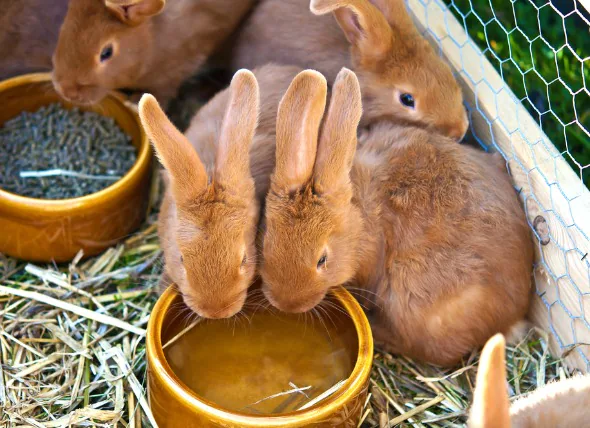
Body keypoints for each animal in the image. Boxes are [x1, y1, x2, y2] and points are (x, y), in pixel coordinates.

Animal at [51, 0, 254, 106]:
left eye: (106, 53)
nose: (66, 91)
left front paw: (134, 102)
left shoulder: (175, 73)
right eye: (63, 28)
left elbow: (162, 93)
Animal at [262, 68, 536, 366]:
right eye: (266, 242)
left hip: (415, 302)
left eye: (322, 260)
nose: (286, 304)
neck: (360, 217)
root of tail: (513, 315)